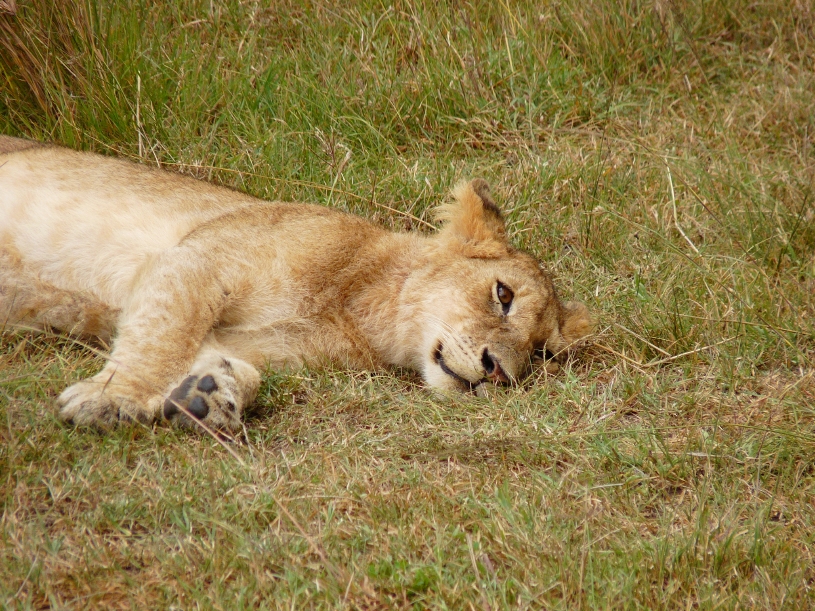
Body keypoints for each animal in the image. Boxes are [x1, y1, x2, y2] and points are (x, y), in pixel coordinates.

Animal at [0, 135, 592, 432]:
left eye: (540, 353)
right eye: (503, 295)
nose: (500, 375)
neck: (356, 310)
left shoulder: (245, 339)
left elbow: (220, 361)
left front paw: (210, 394)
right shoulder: (197, 258)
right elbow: (162, 336)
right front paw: (111, 400)